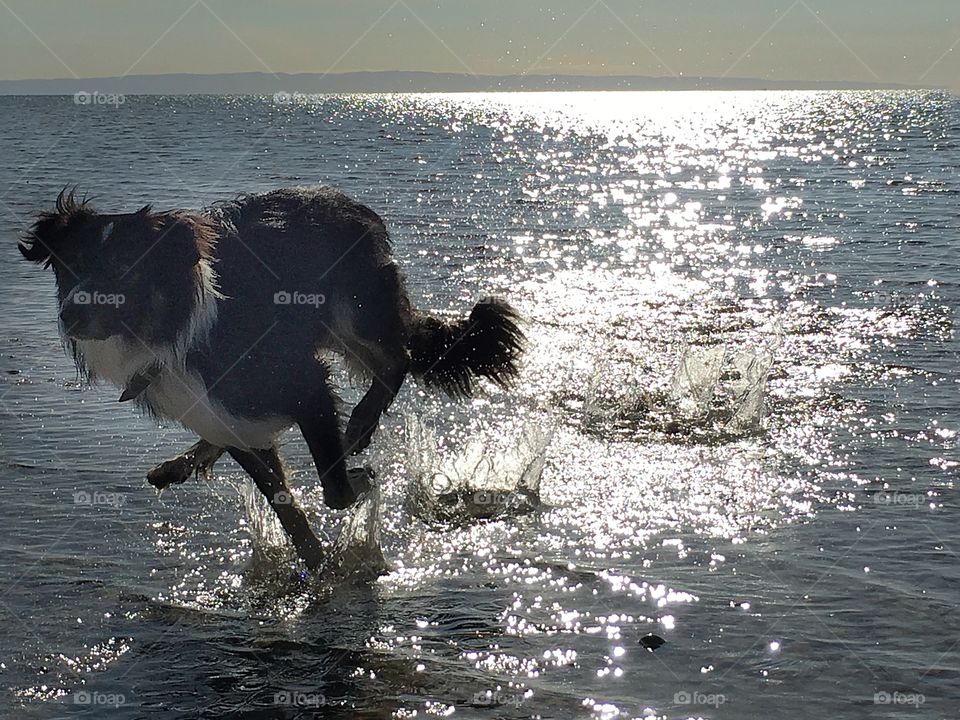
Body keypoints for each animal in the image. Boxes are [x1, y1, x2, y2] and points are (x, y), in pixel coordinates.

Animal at [20, 187, 524, 568]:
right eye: (67, 267)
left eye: (126, 269)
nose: (70, 316)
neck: (173, 331)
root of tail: (342, 199)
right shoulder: (225, 414)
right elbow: (283, 502)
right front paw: (315, 563)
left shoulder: (305, 383)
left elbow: (334, 489)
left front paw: (357, 479)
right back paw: (183, 462)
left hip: (352, 310)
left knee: (396, 356)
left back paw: (362, 422)